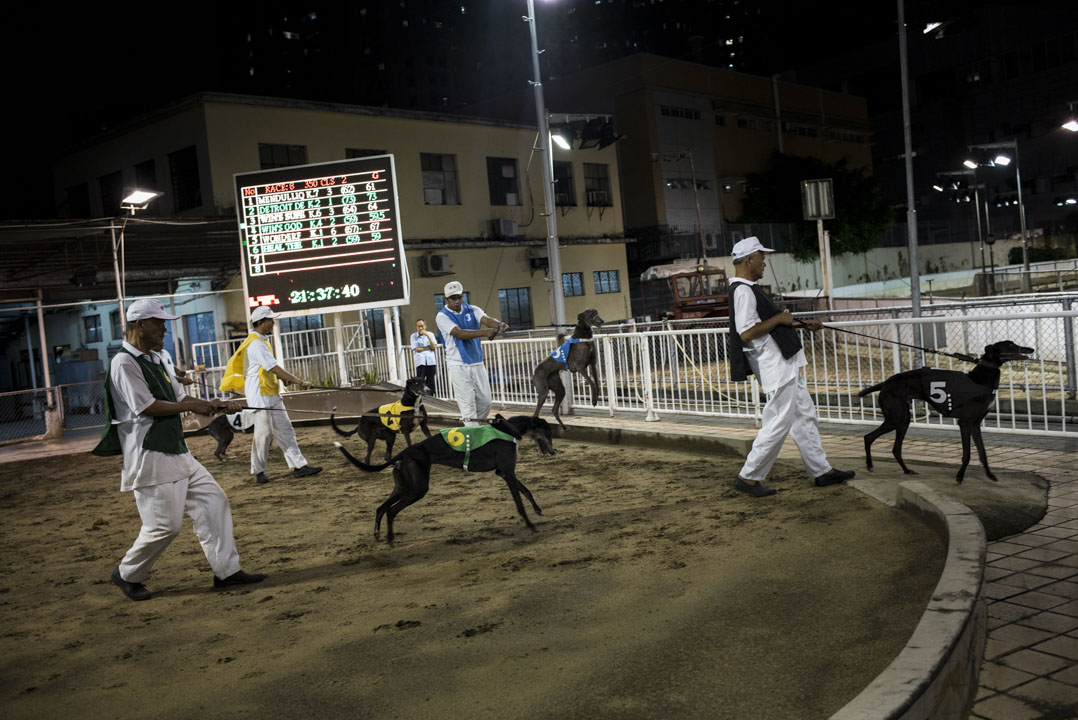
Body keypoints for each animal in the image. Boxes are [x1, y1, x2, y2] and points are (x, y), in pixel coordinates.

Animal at [858, 340, 1034, 487]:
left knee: (893, 447)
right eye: (1010, 345)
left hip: (902, 420)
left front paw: (990, 475)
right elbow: (967, 453)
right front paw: (960, 476)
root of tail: (885, 383)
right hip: (898, 418)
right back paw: (870, 465)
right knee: (870, 438)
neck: (979, 379)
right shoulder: (965, 423)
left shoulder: (975, 424)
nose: (1031, 349)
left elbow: (982, 453)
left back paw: (905, 470)